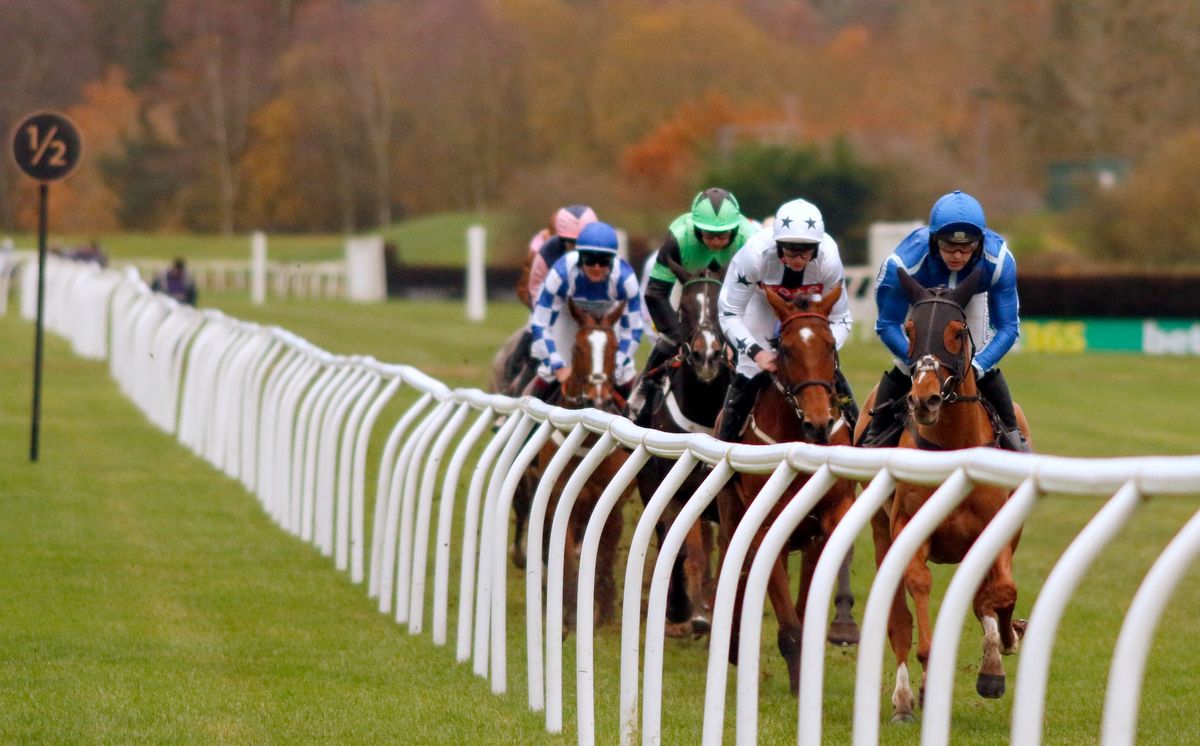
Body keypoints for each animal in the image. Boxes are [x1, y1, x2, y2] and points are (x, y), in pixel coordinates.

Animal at [715, 285, 859, 695]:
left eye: (830, 345)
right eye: (787, 349)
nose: (818, 424)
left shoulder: (823, 522)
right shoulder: (766, 530)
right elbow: (789, 623)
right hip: (732, 516)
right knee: (736, 567)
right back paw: (732, 643)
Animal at [854, 268, 1032, 724]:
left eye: (955, 332)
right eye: (910, 330)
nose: (924, 399)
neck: (953, 447)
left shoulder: (998, 530)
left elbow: (1001, 591)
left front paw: (1000, 654)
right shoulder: (906, 527)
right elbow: (917, 589)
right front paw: (924, 680)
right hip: (879, 531)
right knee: (898, 617)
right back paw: (904, 699)